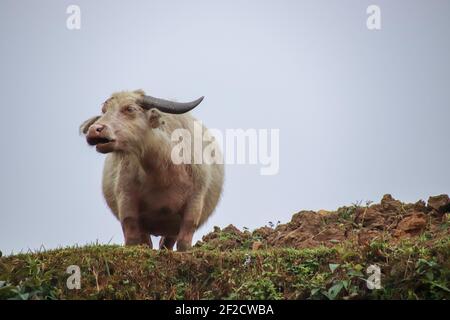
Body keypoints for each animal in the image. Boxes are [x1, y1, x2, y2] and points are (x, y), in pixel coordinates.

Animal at [80, 89, 224, 250]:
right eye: (104, 110)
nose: (94, 130)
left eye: (130, 109)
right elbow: (132, 236)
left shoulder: (195, 200)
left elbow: (184, 241)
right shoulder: (126, 200)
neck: (163, 174)